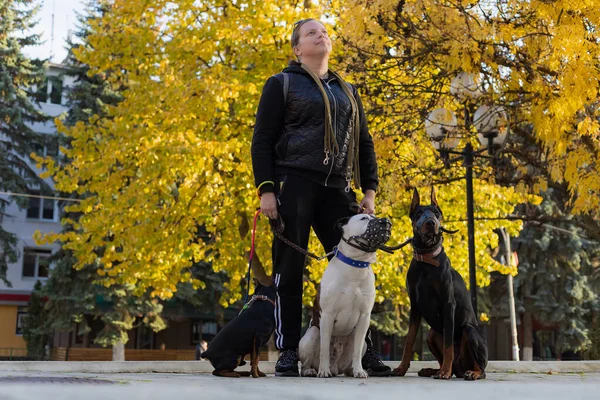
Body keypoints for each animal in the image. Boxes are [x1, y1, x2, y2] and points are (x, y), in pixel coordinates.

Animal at [298, 212, 392, 378]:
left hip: (363, 343)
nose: (386, 221)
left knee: (355, 354)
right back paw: (311, 370)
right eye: (363, 218)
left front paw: (359, 371)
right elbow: (324, 349)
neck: (356, 265)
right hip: (312, 334)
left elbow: (356, 351)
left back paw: (353, 370)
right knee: (306, 362)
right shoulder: (327, 315)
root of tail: (336, 367)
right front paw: (323, 371)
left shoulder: (364, 317)